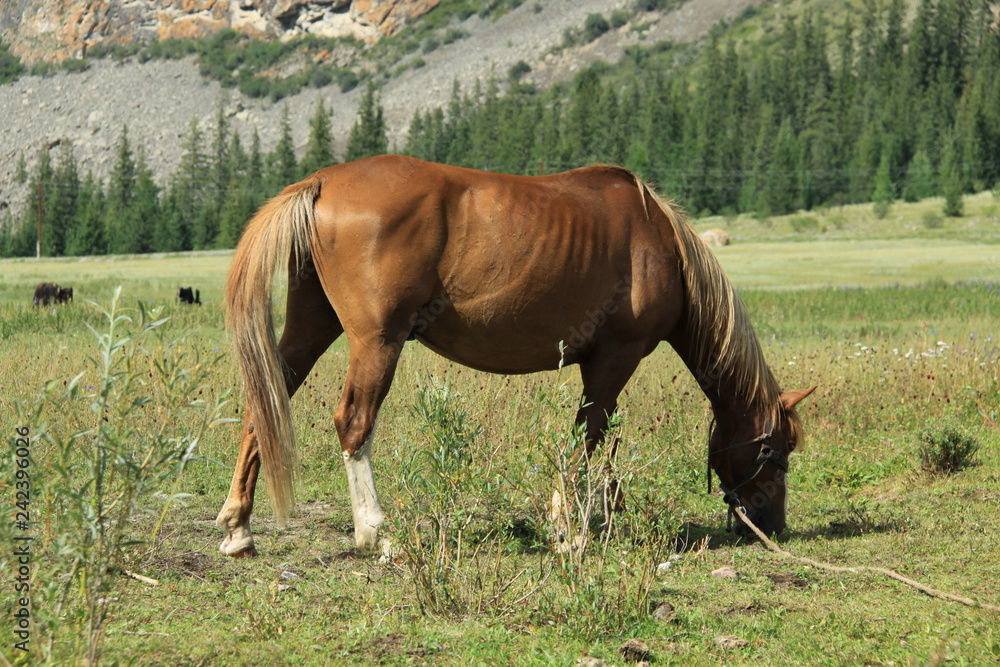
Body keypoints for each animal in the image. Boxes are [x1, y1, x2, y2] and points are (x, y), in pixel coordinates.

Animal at [216, 155, 816, 558]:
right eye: (776, 451)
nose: (772, 525)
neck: (660, 242)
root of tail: (323, 180)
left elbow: (595, 442)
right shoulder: (613, 360)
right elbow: (587, 437)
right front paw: (568, 527)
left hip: (312, 327)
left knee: (264, 404)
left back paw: (239, 529)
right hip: (375, 342)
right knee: (354, 424)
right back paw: (376, 533)